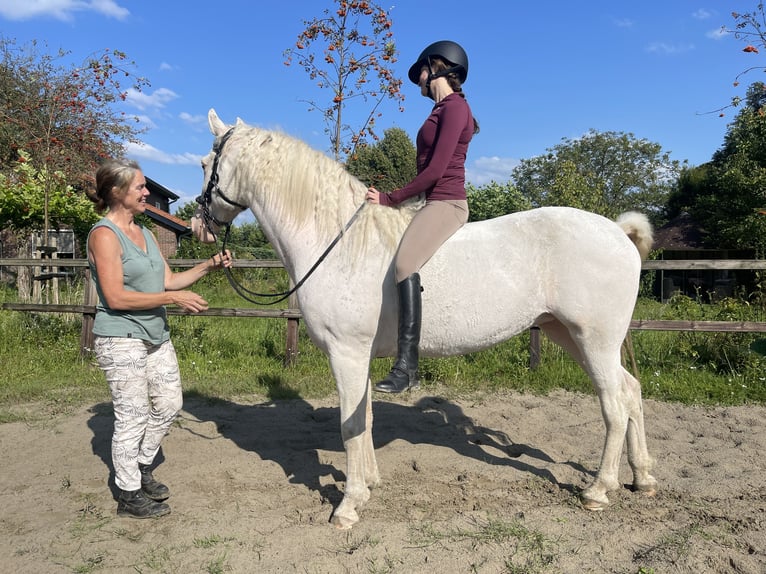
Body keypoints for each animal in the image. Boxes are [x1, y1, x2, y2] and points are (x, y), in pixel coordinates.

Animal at [192, 108, 660, 532]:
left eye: (203, 164)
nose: (199, 225)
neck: (338, 240)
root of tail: (618, 233)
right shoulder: (358, 356)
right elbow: (364, 418)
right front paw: (369, 484)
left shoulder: (346, 352)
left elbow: (349, 426)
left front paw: (348, 505)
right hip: (568, 335)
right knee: (631, 392)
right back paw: (643, 478)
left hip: (594, 340)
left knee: (615, 404)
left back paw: (599, 490)